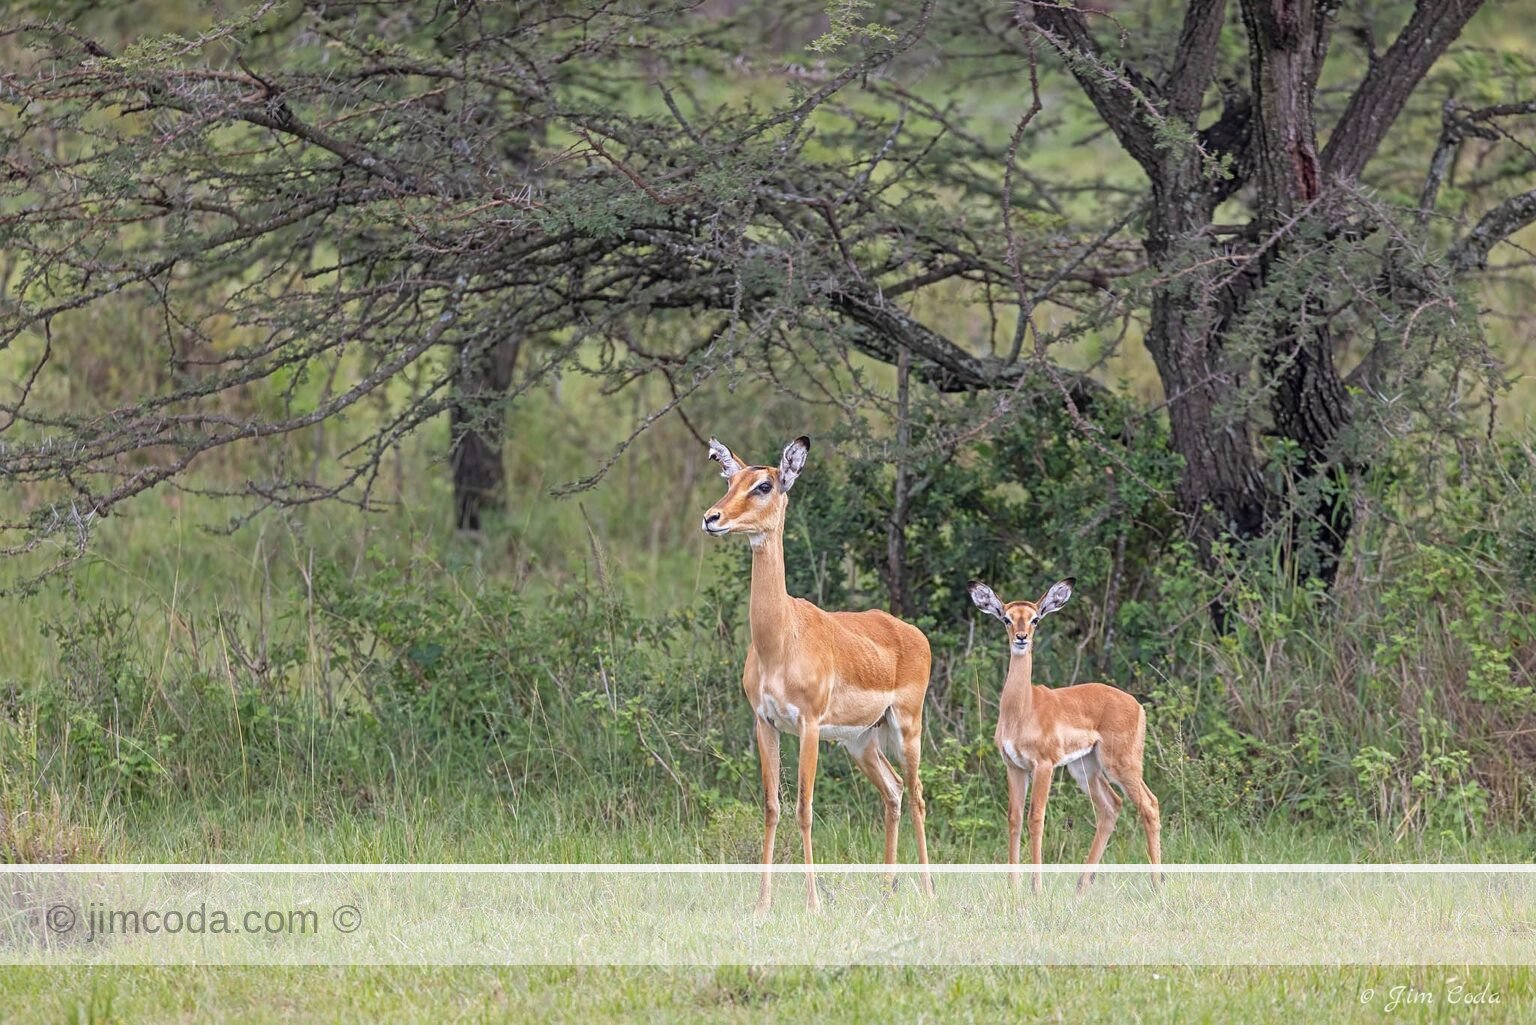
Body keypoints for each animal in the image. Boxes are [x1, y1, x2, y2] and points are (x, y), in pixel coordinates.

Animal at [702, 435, 934, 913]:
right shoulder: (765, 723)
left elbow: (805, 808)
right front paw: (762, 904)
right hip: (861, 740)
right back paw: (886, 890)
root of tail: (913, 633)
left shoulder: (808, 724)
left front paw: (813, 903)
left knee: (918, 795)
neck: (780, 641)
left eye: (765, 484)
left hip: (907, 726)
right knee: (894, 790)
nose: (711, 518)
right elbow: (772, 807)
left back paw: (928, 891)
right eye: (730, 480)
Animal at [967, 577, 1161, 893]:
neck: (1023, 709)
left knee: (1149, 805)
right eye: (1007, 618)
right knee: (1111, 807)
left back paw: (1158, 884)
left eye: (1035, 618)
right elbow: (1014, 818)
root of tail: (1137, 705)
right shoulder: (1014, 767)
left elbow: (1036, 818)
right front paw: (1012, 887)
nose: (1021, 637)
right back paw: (1082, 884)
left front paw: (1036, 888)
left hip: (1121, 764)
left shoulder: (1043, 766)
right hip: (1085, 768)